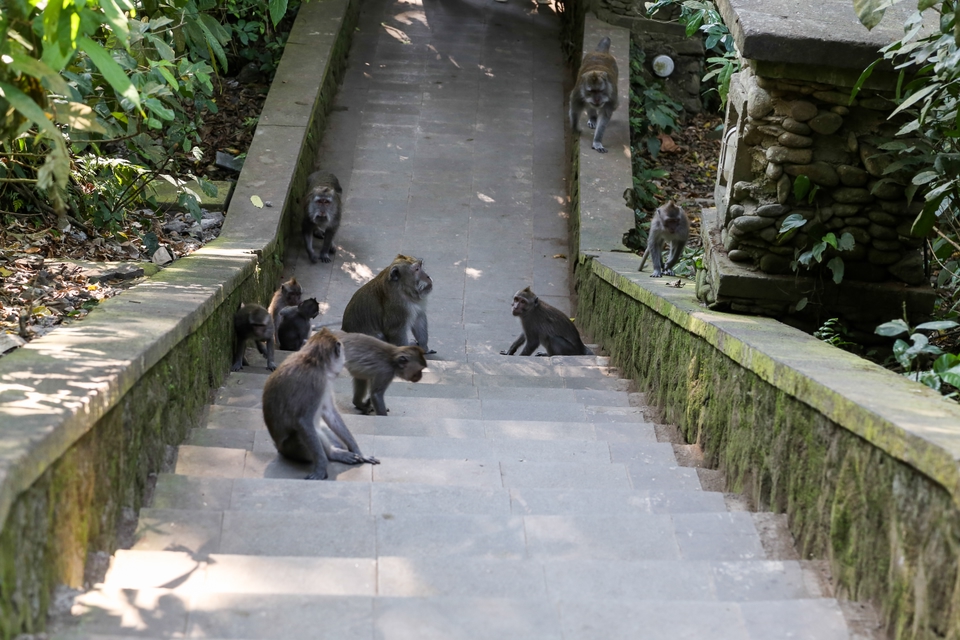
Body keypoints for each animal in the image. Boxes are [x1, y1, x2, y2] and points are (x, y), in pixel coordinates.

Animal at [261, 329, 379, 480]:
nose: (344, 359)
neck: (314, 361)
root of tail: (279, 448)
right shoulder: (316, 382)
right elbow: (303, 421)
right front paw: (321, 468)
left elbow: (329, 413)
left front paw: (359, 451)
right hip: (293, 450)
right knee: (301, 433)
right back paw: (332, 454)